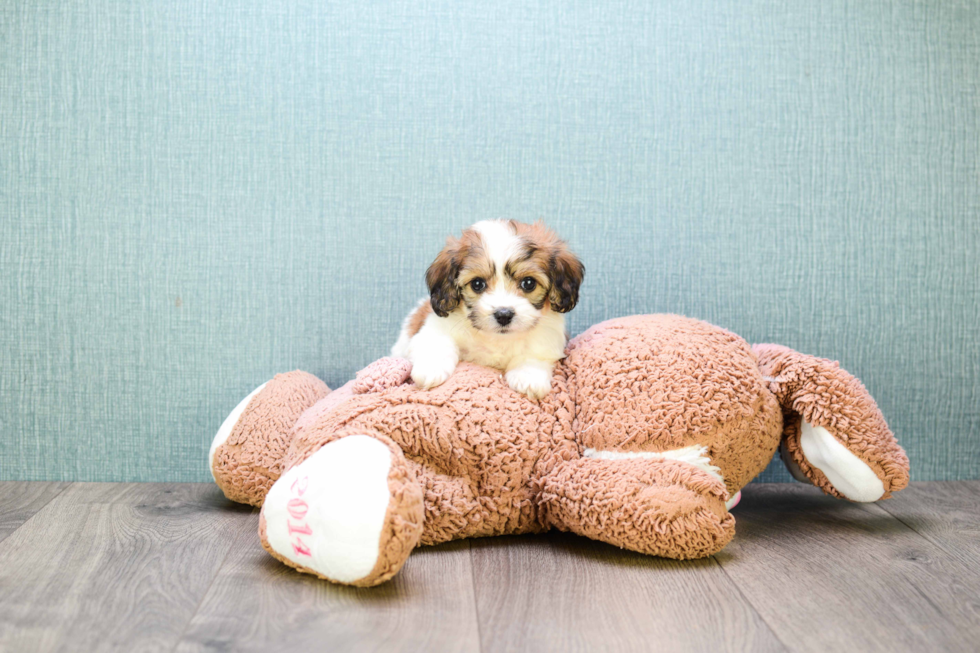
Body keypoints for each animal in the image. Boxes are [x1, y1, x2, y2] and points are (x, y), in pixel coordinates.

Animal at [394, 222, 584, 400]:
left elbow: (535, 354)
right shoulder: (436, 328)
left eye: (528, 283)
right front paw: (431, 369)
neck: (497, 339)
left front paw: (528, 377)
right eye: (477, 284)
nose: (504, 315)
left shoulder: (547, 339)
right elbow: (437, 342)